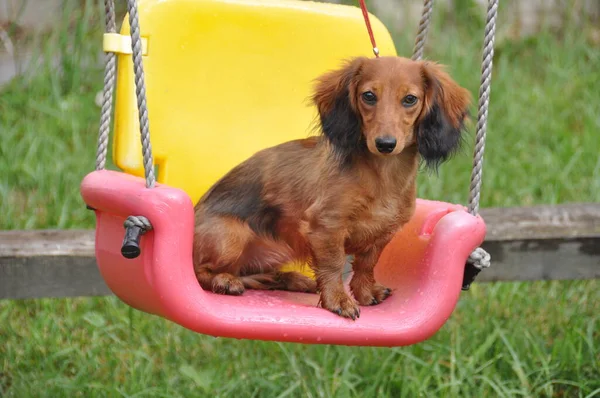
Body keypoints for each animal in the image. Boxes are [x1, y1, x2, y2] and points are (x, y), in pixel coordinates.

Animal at [191, 55, 468, 320]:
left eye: (410, 99)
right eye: (369, 95)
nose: (385, 144)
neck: (382, 175)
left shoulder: (382, 233)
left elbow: (367, 264)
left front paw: (365, 293)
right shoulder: (326, 226)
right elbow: (333, 265)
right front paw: (338, 301)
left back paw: (288, 279)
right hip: (231, 238)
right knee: (201, 271)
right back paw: (225, 281)